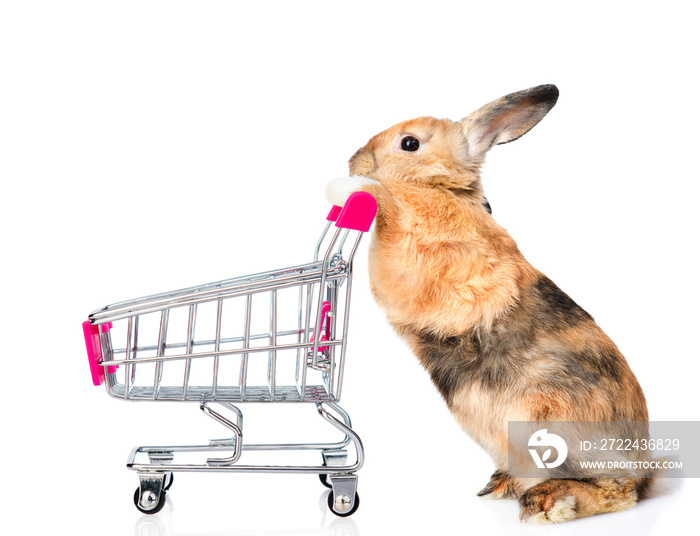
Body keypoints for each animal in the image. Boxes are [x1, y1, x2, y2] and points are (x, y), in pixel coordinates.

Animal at [326, 85, 652, 524]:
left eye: (409, 143)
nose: (354, 160)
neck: (438, 189)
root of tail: (647, 467)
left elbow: (388, 197)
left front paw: (347, 187)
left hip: (546, 425)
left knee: (619, 491)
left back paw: (549, 501)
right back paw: (503, 486)